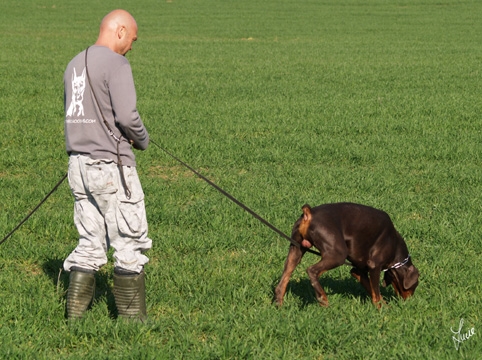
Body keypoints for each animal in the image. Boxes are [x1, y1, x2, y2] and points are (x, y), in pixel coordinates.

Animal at [274, 202, 418, 306]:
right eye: (415, 285)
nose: (409, 303)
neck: (395, 246)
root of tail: (309, 213)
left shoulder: (358, 270)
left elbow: (372, 290)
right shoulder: (374, 266)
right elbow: (376, 293)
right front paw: (382, 309)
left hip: (296, 250)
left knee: (282, 283)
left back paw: (279, 306)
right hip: (337, 255)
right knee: (312, 270)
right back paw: (322, 298)